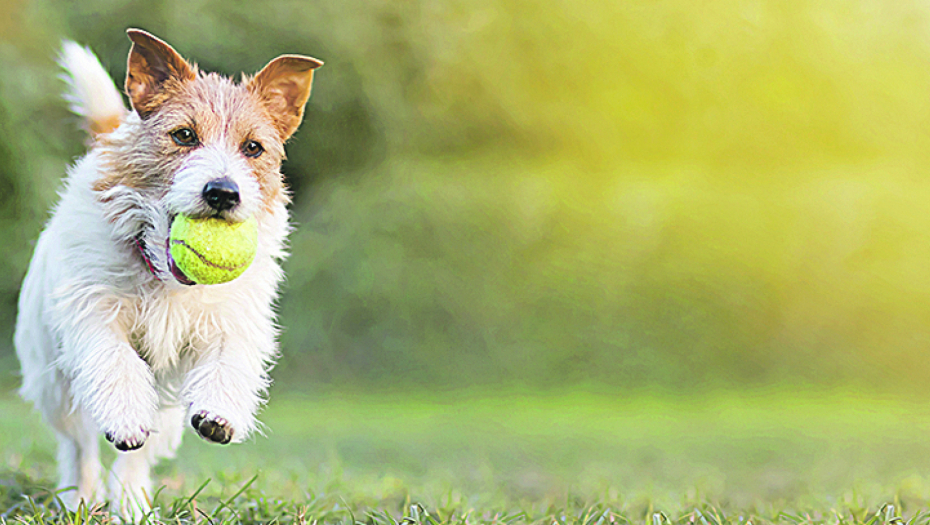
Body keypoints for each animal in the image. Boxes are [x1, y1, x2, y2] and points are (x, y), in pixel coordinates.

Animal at [10, 29, 322, 516]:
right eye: (184, 135)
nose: (222, 192)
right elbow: (114, 360)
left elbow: (229, 359)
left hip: (166, 407)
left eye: (253, 147)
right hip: (54, 383)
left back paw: (132, 504)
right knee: (79, 444)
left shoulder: (229, 319)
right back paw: (80, 496)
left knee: (137, 458)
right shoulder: (93, 311)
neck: (163, 276)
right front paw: (123, 416)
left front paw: (219, 412)